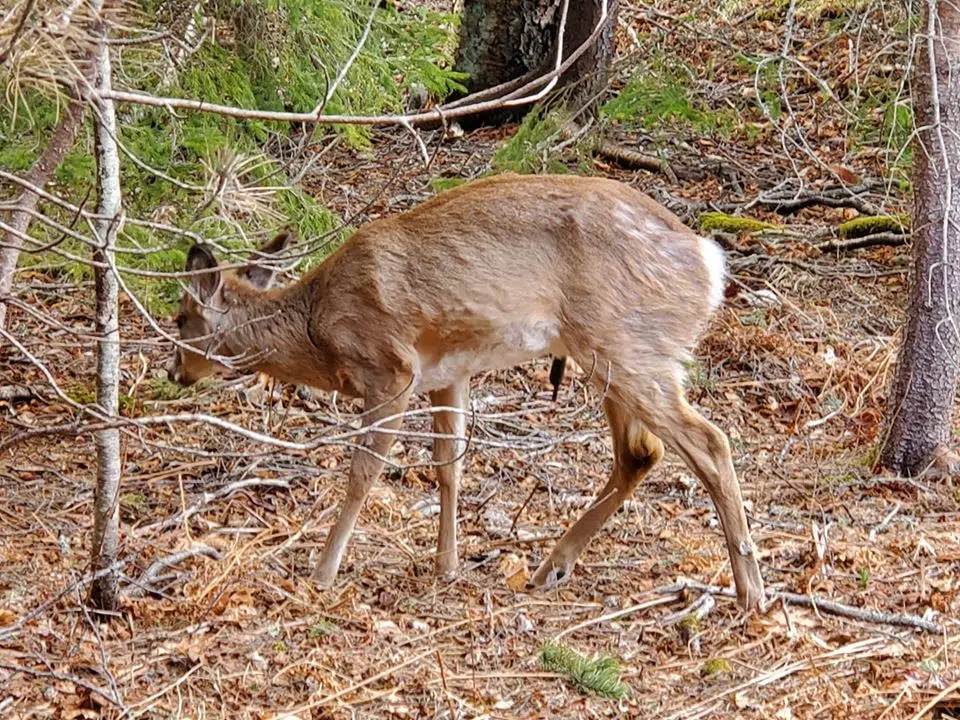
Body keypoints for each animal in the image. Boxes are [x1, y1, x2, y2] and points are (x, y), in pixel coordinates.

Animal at [167, 172, 764, 612]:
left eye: (179, 319)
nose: (174, 372)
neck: (318, 327)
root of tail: (709, 264)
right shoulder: (448, 373)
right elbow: (449, 466)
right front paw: (446, 565)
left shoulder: (390, 369)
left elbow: (363, 474)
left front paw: (322, 571)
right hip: (614, 355)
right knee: (641, 452)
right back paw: (550, 568)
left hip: (625, 344)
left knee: (708, 442)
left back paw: (750, 592)